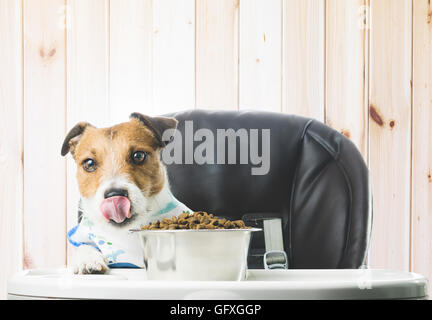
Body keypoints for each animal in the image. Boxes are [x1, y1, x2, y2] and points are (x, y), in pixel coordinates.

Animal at [60, 113, 191, 276]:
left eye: (138, 155)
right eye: (89, 163)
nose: (114, 195)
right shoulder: (84, 238)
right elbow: (84, 246)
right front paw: (89, 260)